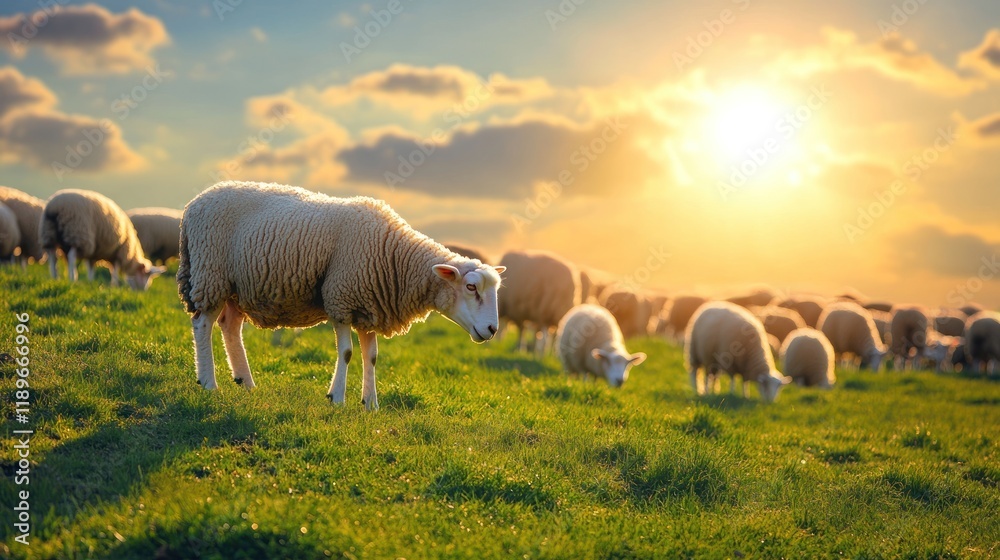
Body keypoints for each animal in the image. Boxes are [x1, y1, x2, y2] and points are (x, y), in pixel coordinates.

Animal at [177, 181, 506, 409]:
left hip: (236, 286)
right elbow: (347, 353)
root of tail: (193, 204)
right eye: (471, 287)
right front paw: (336, 397)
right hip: (211, 273)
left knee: (230, 327)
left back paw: (245, 382)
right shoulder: (341, 299)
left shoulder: (370, 306)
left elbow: (371, 357)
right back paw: (208, 382)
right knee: (202, 324)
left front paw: (371, 403)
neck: (393, 256)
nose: (492, 329)